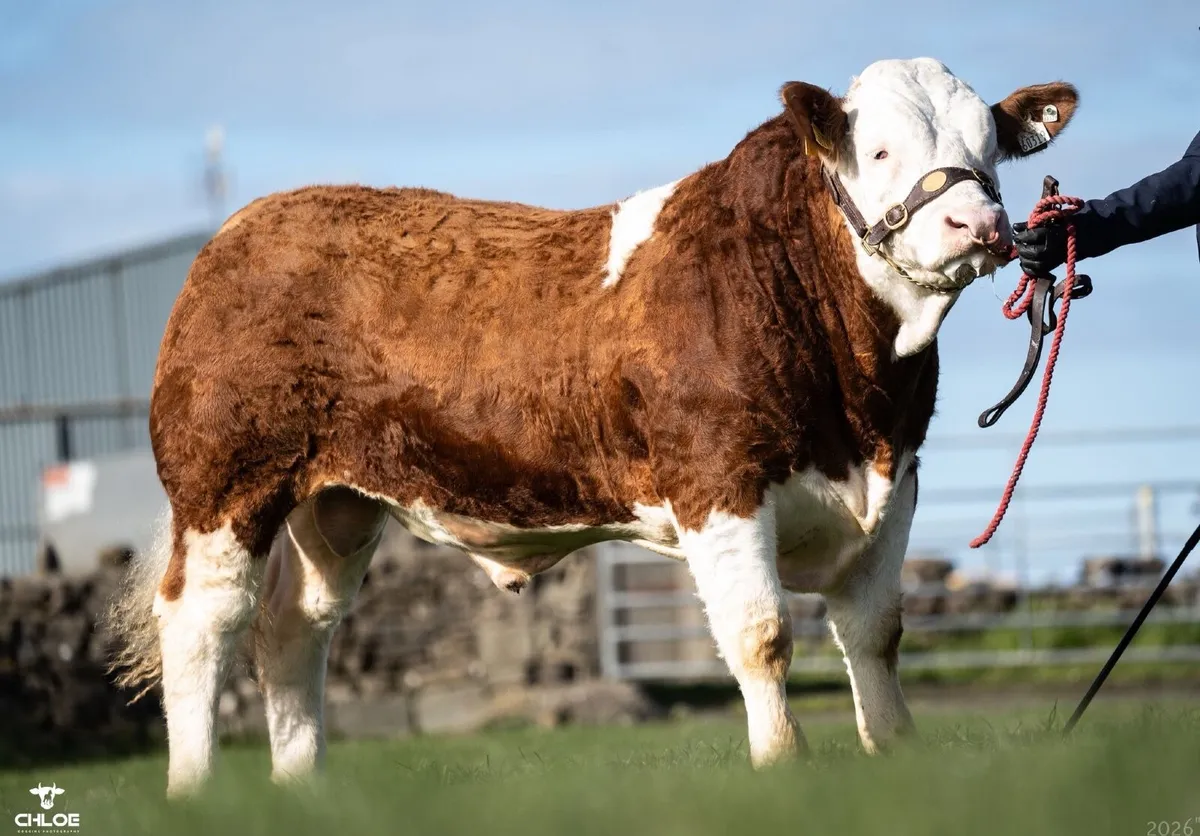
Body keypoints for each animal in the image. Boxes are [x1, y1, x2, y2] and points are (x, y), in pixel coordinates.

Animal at [105, 57, 1077, 797]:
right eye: (878, 148)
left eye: (990, 148)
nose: (978, 223)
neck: (858, 399)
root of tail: (246, 224)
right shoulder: (717, 479)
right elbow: (762, 635)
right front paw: (781, 767)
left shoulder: (896, 483)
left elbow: (875, 634)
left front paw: (894, 758)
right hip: (226, 481)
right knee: (203, 623)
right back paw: (195, 792)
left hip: (335, 504)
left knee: (293, 629)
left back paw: (302, 788)